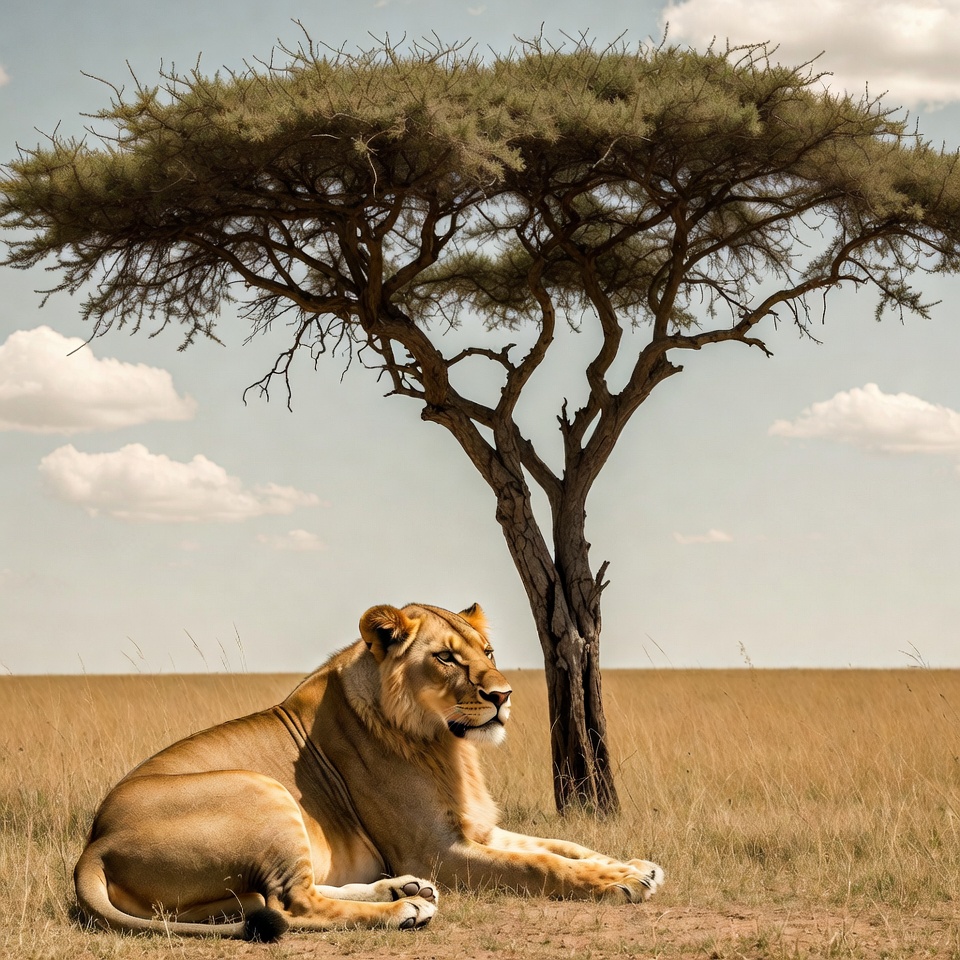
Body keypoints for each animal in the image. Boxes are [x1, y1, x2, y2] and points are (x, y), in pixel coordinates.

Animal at [74, 603, 664, 940]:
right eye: (446, 658)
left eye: (489, 651)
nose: (503, 695)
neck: (443, 744)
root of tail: (95, 843)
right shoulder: (438, 850)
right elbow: (541, 865)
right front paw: (621, 883)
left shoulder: (476, 830)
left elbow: (564, 846)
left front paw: (633, 866)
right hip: (260, 788)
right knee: (290, 903)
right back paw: (403, 910)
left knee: (282, 894)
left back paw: (401, 890)